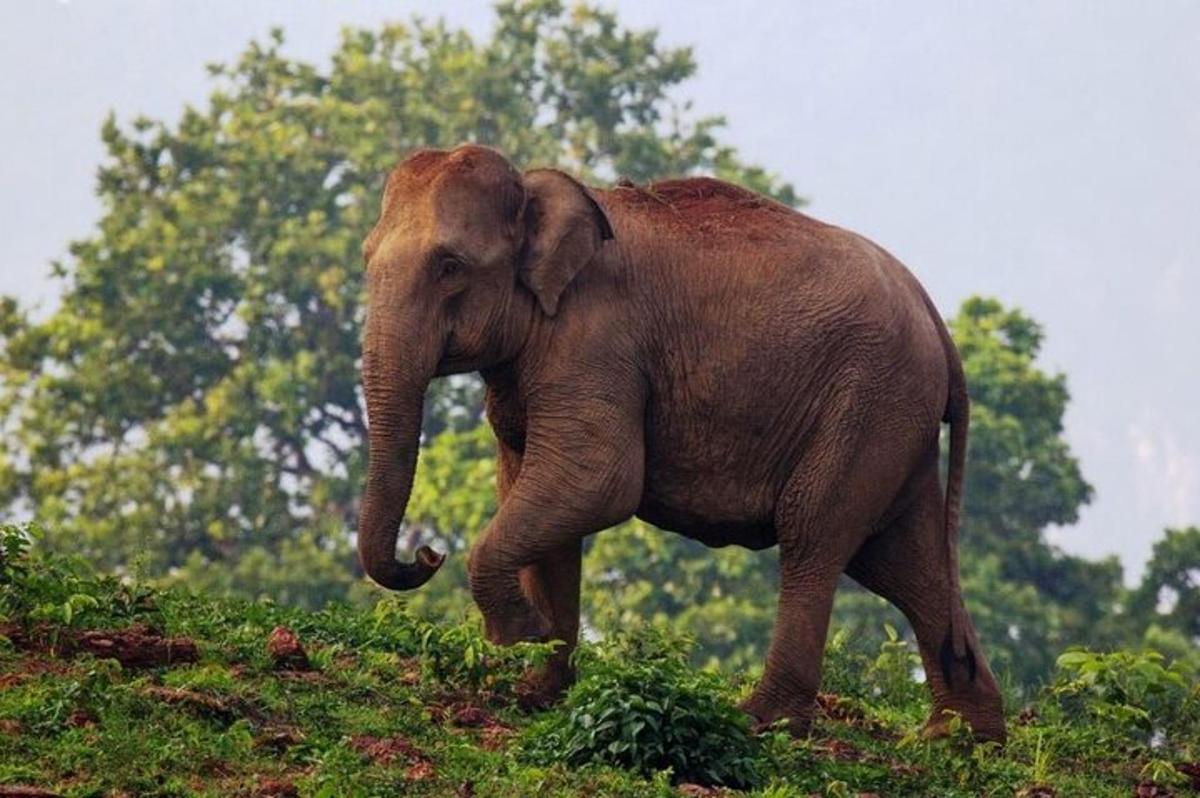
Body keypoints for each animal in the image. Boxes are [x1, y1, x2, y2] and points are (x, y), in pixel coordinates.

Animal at [352, 141, 1003, 739]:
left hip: (870, 403)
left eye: (450, 266)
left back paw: (763, 720)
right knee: (904, 561)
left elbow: (598, 480)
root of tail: (938, 325)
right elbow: (533, 491)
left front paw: (520, 636)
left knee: (813, 535)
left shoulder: (596, 341)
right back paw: (962, 738)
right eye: (365, 256)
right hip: (894, 420)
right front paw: (536, 692)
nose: (426, 553)